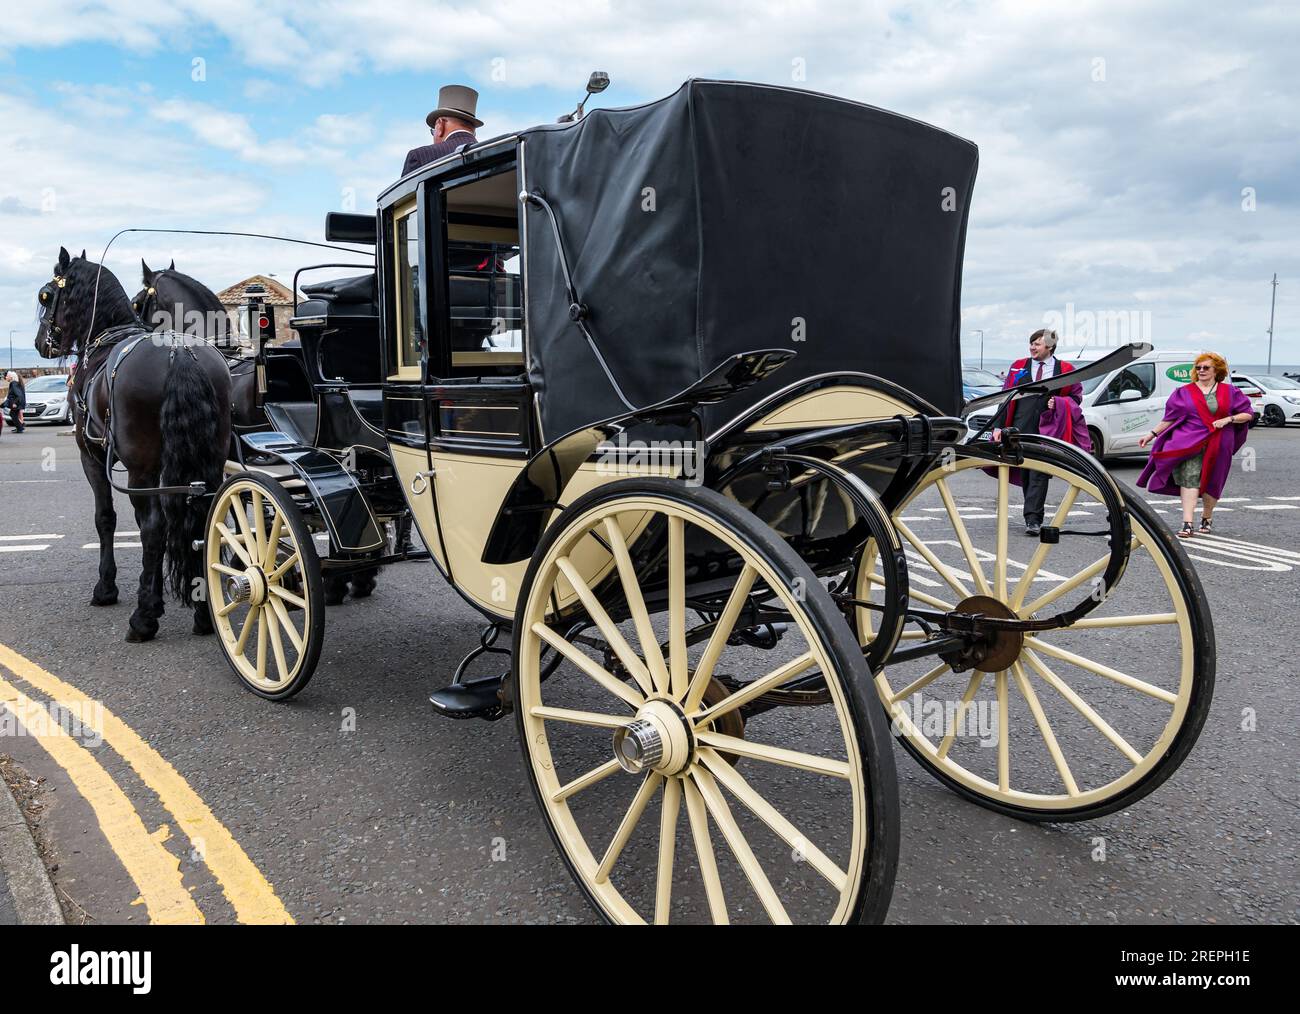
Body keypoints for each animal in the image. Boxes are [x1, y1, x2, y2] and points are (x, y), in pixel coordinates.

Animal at [36, 246, 232, 642]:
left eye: (45, 296)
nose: (40, 343)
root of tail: (179, 351)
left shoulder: (92, 455)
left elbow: (108, 518)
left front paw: (109, 589)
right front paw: (158, 592)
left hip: (142, 468)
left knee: (155, 527)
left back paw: (142, 620)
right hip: (208, 461)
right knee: (205, 517)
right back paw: (204, 612)